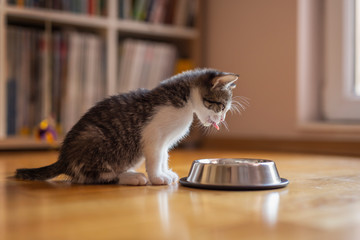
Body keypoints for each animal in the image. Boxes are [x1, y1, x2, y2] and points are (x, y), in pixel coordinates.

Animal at [15, 68, 243, 185]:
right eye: (221, 106)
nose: (222, 119)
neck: (185, 100)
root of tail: (63, 158)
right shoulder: (153, 134)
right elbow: (155, 158)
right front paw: (157, 177)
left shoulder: (165, 141)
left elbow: (163, 156)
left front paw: (165, 172)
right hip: (96, 139)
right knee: (92, 176)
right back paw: (130, 177)